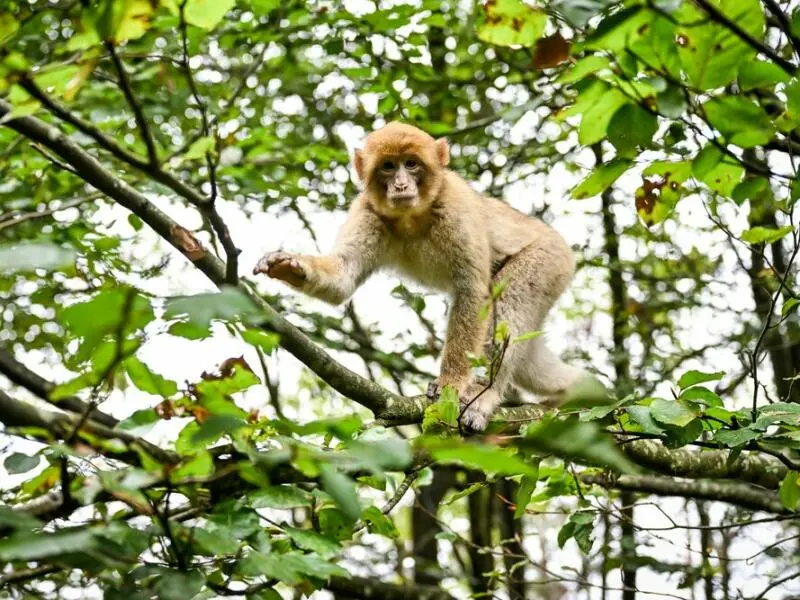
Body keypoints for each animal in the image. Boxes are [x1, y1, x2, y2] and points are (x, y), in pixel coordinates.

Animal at [253, 123, 592, 432]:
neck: (412, 217)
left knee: (509, 303)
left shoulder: (456, 207)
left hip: (548, 260)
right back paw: (582, 389)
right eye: (388, 166)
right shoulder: (367, 211)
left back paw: (484, 394)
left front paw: (451, 384)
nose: (401, 184)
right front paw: (289, 265)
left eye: (412, 163)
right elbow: (343, 277)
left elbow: (473, 293)